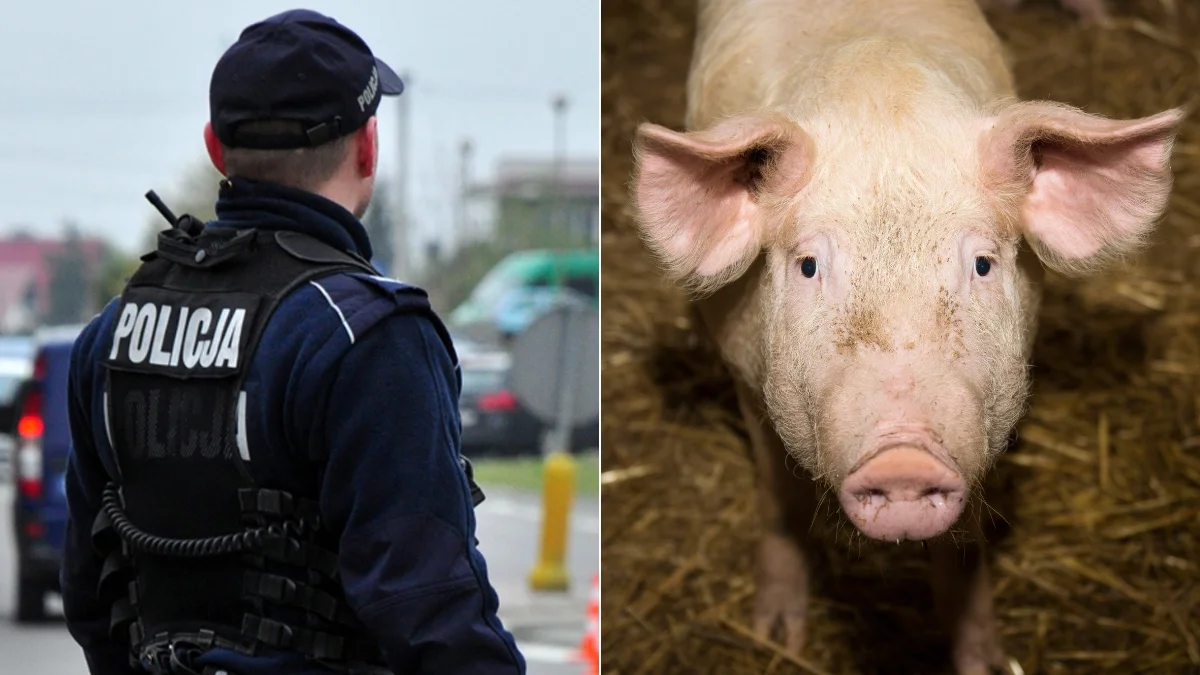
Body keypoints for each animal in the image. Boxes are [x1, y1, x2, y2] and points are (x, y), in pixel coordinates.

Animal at [628, 1, 1180, 672]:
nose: (903, 457)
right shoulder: (742, 371)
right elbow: (779, 499)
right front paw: (777, 637)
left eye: (982, 264)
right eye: (808, 265)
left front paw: (984, 660)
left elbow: (963, 548)